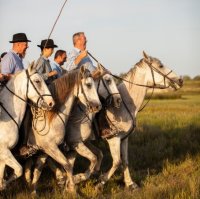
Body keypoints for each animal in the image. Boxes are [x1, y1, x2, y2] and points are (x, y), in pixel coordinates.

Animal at [23, 66, 101, 194]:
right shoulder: (58, 147)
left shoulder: (69, 148)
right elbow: (71, 164)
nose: (98, 106)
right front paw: (73, 185)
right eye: (89, 85)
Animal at [95, 51, 183, 191]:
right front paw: (100, 182)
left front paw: (130, 184)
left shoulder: (124, 138)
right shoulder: (113, 139)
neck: (124, 105)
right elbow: (117, 162)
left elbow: (125, 161)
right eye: (160, 65)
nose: (180, 80)